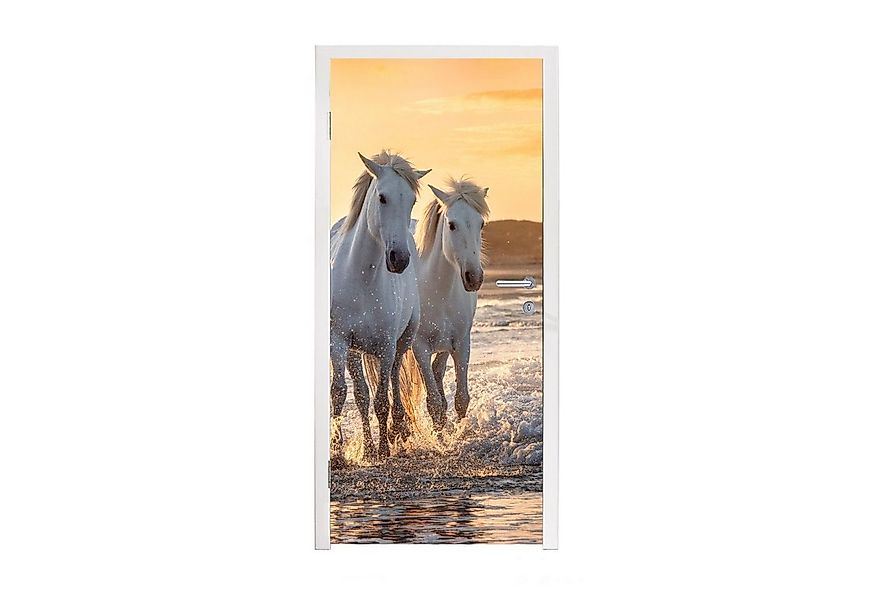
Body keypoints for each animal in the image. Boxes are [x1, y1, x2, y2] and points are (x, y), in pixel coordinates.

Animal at [330, 151, 430, 460]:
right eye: (382, 197)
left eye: (411, 200)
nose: (399, 259)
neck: (362, 277)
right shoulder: (338, 342)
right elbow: (341, 393)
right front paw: (338, 453)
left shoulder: (385, 347)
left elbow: (382, 399)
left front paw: (385, 448)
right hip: (354, 351)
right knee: (362, 394)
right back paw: (368, 447)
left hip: (402, 341)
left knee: (395, 381)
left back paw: (397, 430)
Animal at [400, 178, 490, 430]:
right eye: (452, 225)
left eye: (481, 224)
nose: (474, 277)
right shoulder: (420, 347)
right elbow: (434, 405)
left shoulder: (461, 342)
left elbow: (461, 399)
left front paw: (459, 433)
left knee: (437, 372)